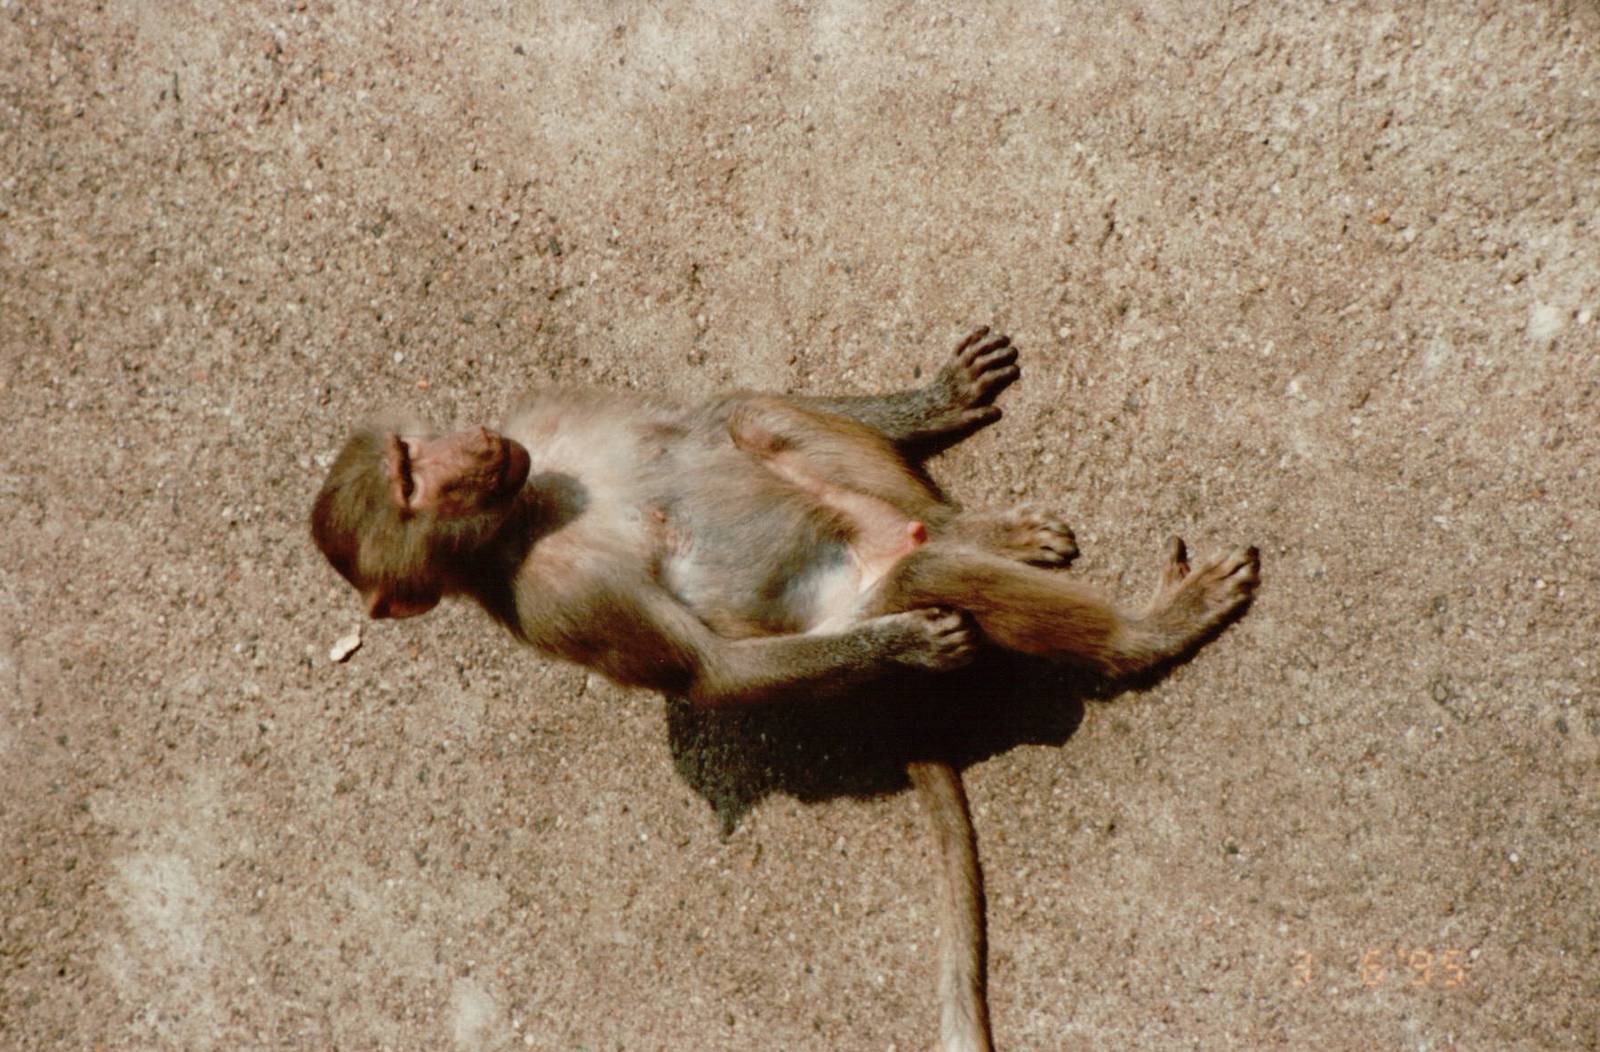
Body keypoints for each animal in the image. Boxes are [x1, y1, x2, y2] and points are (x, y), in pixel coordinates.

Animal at [310, 328, 1259, 1052]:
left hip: (863, 506)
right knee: (927, 572)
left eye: (407, 456)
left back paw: (982, 528)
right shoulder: (564, 602)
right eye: (410, 484)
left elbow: (707, 412)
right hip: (871, 586)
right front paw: (910, 646)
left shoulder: (539, 421)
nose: (471, 448)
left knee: (760, 420)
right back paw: (1148, 629)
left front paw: (936, 398)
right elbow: (710, 676)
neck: (528, 509)